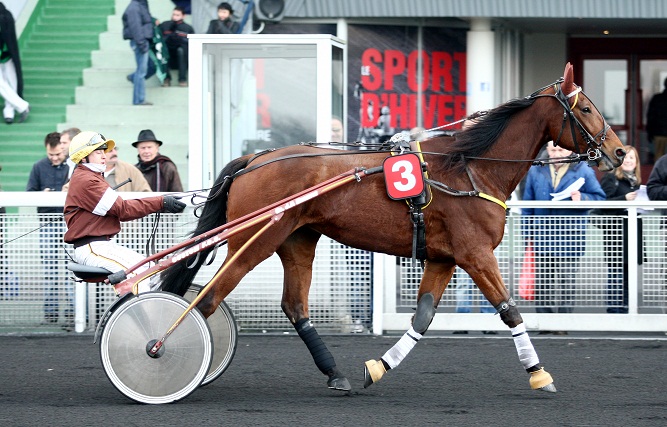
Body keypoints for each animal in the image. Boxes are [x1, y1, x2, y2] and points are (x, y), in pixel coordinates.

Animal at [162, 63, 628, 394]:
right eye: (586, 109)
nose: (620, 152)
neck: (470, 169)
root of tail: (255, 160)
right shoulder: (475, 254)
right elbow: (509, 309)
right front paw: (539, 373)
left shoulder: (444, 258)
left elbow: (422, 318)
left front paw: (377, 368)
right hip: (254, 242)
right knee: (206, 301)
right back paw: (169, 353)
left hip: (297, 239)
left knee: (293, 306)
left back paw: (335, 373)